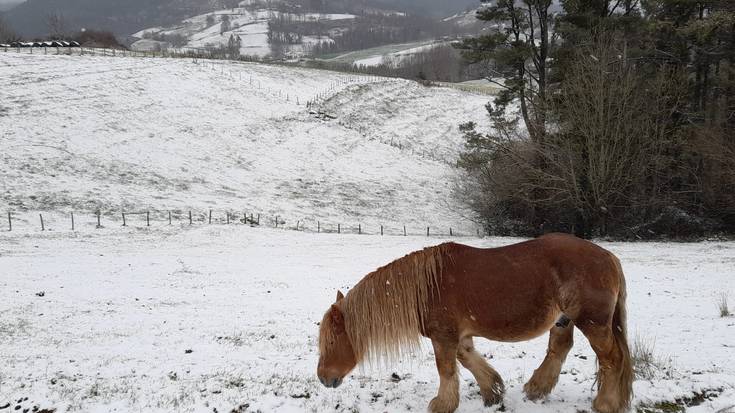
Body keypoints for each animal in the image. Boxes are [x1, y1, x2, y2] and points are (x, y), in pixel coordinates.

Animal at [316, 233, 632, 410]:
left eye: (331, 340)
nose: (323, 378)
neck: (425, 286)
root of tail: (609, 256)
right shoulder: (457, 335)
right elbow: (467, 359)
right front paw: (492, 392)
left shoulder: (443, 335)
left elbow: (446, 369)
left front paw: (441, 405)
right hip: (564, 321)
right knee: (559, 349)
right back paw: (536, 389)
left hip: (594, 323)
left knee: (612, 359)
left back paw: (605, 404)